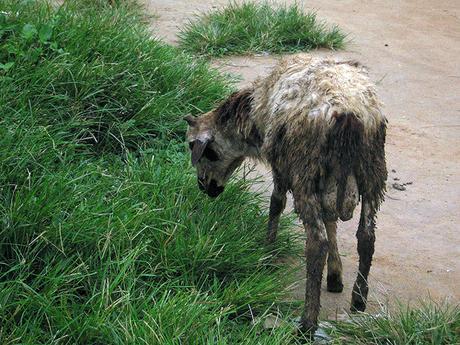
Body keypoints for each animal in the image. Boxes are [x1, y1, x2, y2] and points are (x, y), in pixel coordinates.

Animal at [185, 55, 386, 334]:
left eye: (196, 148)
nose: (204, 188)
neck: (251, 116)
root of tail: (348, 114)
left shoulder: (280, 164)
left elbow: (276, 203)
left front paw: (268, 252)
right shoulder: (326, 184)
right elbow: (331, 220)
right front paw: (335, 276)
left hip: (305, 169)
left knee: (317, 242)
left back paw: (307, 323)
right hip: (371, 170)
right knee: (366, 237)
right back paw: (358, 300)